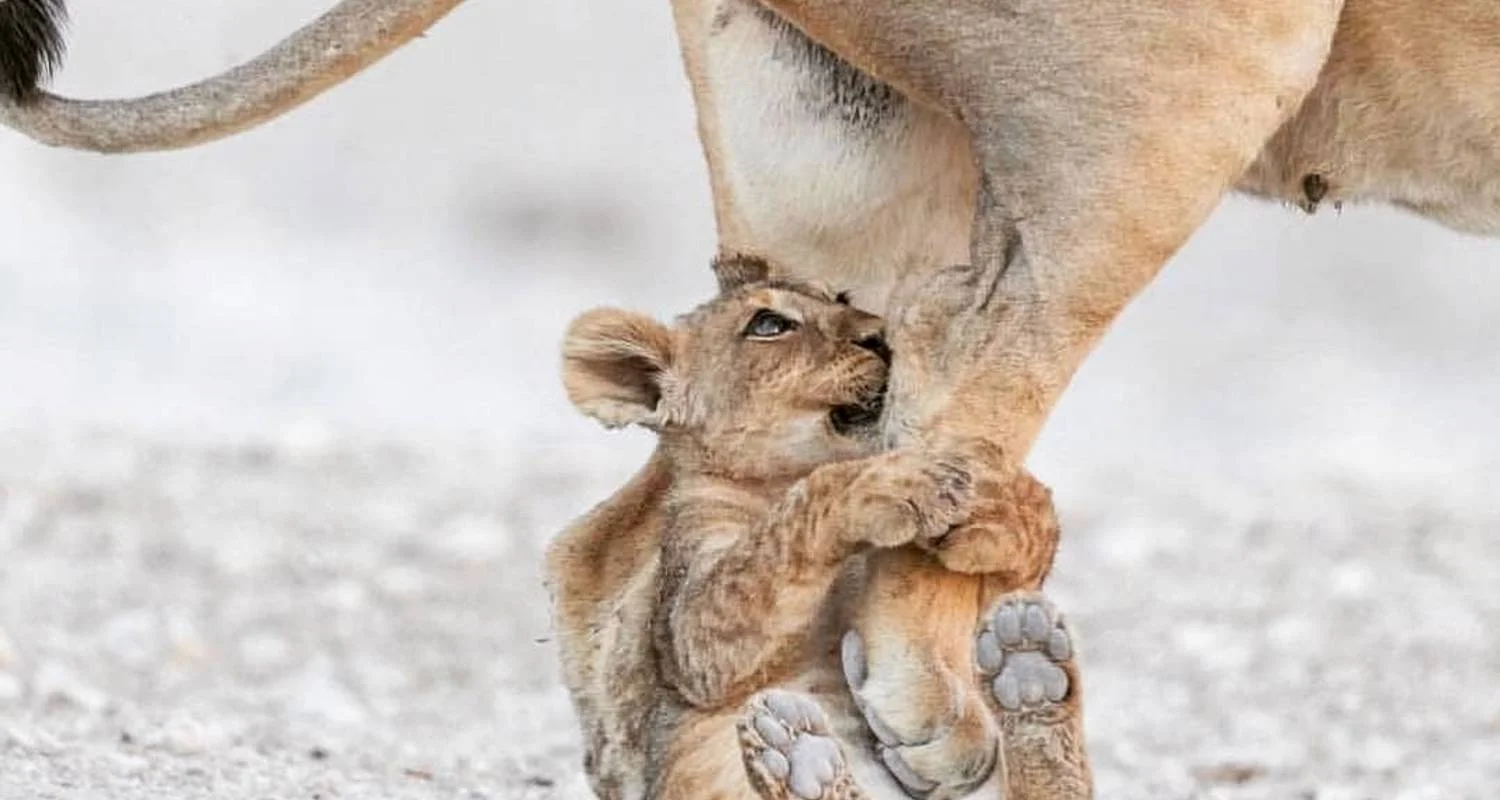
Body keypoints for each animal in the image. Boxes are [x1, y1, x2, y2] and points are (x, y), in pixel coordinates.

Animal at [545, 256, 1090, 800]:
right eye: (768, 324)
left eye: (842, 299)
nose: (880, 336)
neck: (781, 474)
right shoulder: (688, 631)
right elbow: (790, 524)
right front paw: (895, 483)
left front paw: (997, 502)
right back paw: (799, 757)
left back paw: (1029, 663)